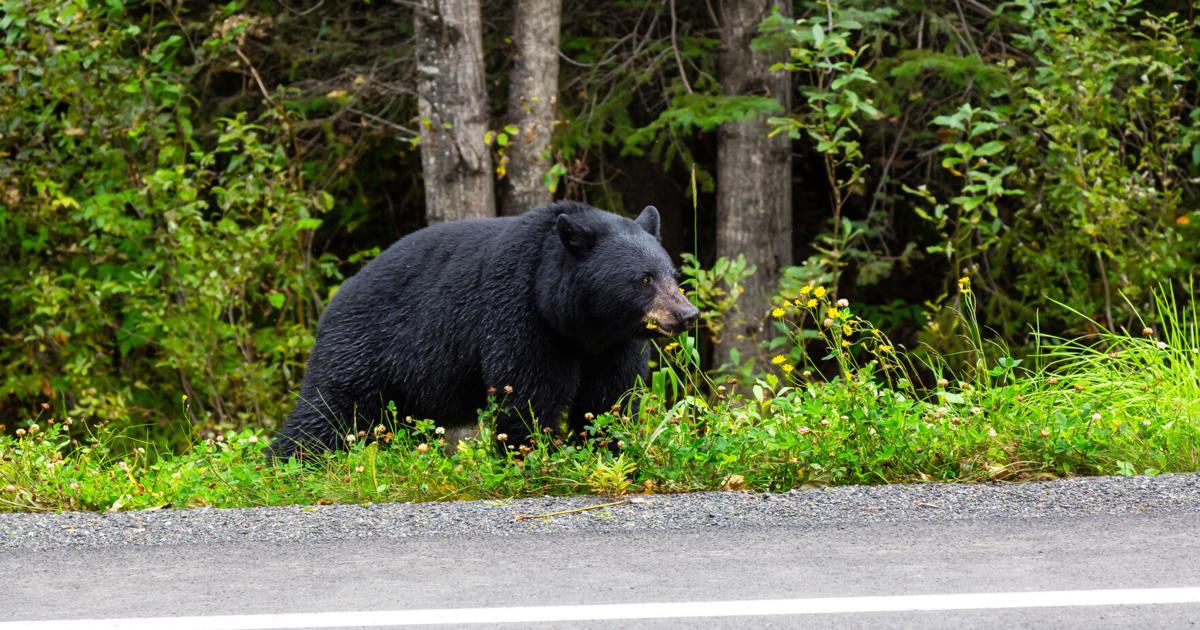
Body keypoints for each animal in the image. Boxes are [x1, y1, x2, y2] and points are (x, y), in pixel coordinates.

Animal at [268, 201, 698, 459]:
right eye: (643, 279)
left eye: (672, 275)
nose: (687, 313)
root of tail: (338, 297)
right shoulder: (520, 314)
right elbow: (529, 389)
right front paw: (531, 453)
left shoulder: (616, 342)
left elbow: (610, 396)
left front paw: (607, 448)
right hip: (362, 348)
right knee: (327, 410)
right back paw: (286, 464)